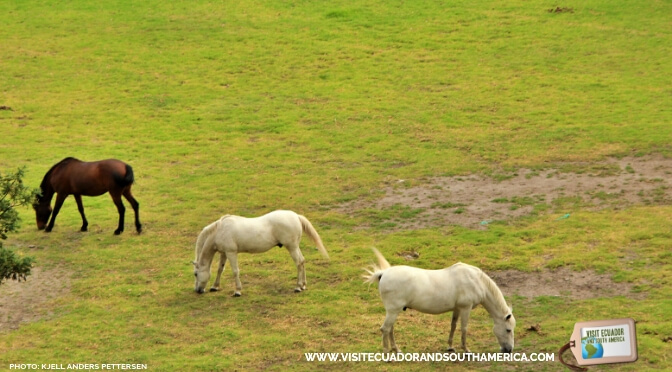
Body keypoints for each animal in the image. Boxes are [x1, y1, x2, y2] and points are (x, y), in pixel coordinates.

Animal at [192, 211, 328, 294]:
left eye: (195, 274)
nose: (198, 290)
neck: (220, 230)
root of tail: (296, 216)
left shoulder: (231, 253)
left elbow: (235, 271)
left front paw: (237, 291)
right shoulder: (224, 253)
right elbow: (220, 269)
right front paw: (215, 286)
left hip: (292, 247)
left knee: (299, 263)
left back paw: (298, 287)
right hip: (294, 247)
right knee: (302, 261)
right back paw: (303, 285)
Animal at [362, 248, 516, 354]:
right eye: (508, 330)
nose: (509, 350)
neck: (476, 281)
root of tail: (383, 274)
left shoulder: (457, 309)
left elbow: (453, 326)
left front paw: (450, 346)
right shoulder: (465, 308)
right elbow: (464, 328)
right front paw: (466, 349)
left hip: (394, 311)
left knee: (390, 329)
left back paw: (396, 349)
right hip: (393, 311)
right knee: (385, 329)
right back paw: (387, 354)